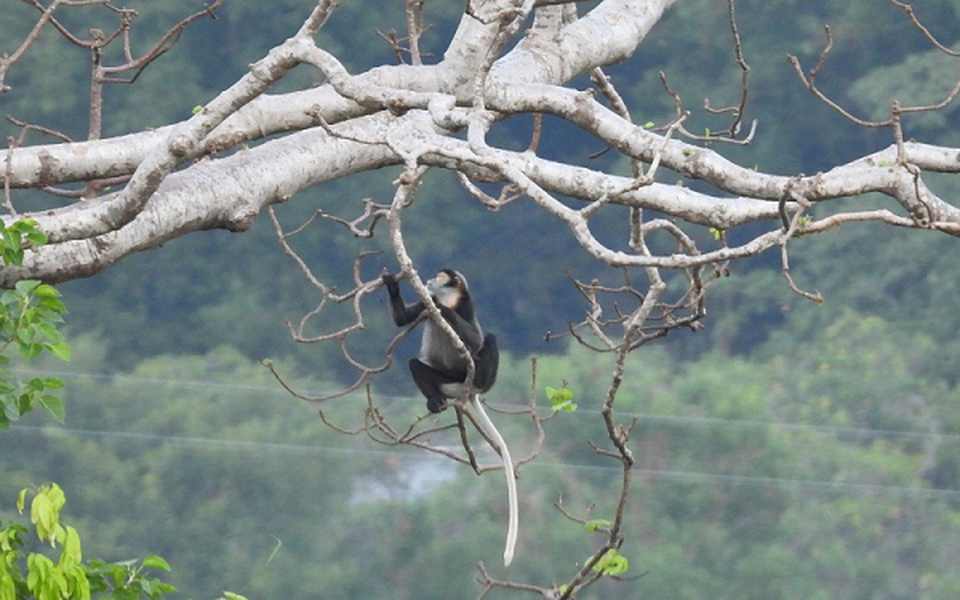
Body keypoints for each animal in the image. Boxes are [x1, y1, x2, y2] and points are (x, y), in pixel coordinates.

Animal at [380, 270, 516, 564]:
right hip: (445, 380)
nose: (430, 279)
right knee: (415, 365)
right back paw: (435, 402)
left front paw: (442, 310)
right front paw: (392, 283)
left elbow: (475, 340)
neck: (450, 298)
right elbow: (403, 320)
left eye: (440, 276)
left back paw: (481, 381)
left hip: (468, 374)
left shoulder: (467, 305)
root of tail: (466, 389)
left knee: (488, 338)